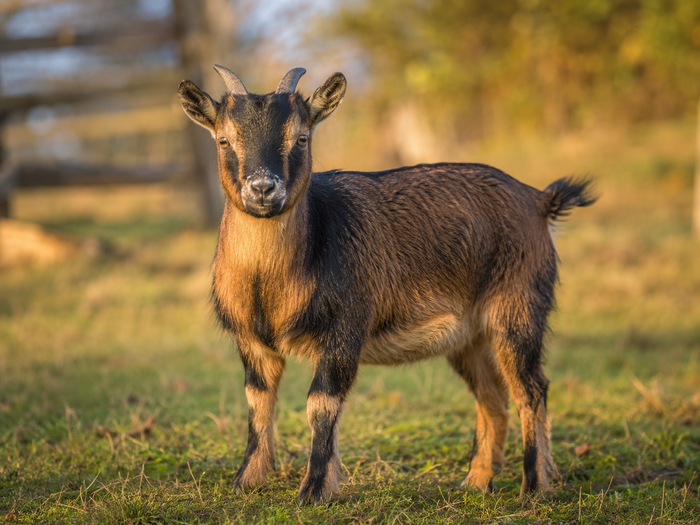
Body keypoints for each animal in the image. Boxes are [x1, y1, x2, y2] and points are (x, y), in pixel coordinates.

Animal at [177, 65, 596, 504]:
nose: (263, 188)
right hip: (469, 336)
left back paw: (534, 486)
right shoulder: (252, 341)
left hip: (518, 310)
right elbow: (257, 401)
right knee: (492, 395)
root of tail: (539, 201)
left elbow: (321, 403)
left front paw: (314, 490)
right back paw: (476, 482)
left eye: (302, 137)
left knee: (530, 388)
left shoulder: (345, 328)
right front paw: (247, 480)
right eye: (224, 139)